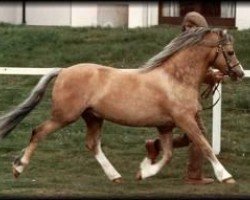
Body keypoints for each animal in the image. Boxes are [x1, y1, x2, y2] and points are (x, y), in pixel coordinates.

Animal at [0, 27, 244, 184]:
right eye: (230, 52)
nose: (240, 73)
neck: (176, 78)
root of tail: (63, 71)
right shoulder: (184, 120)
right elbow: (204, 146)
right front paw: (226, 176)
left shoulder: (165, 125)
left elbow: (168, 154)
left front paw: (143, 172)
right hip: (64, 116)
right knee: (38, 132)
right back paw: (18, 168)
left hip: (93, 117)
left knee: (92, 144)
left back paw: (115, 176)